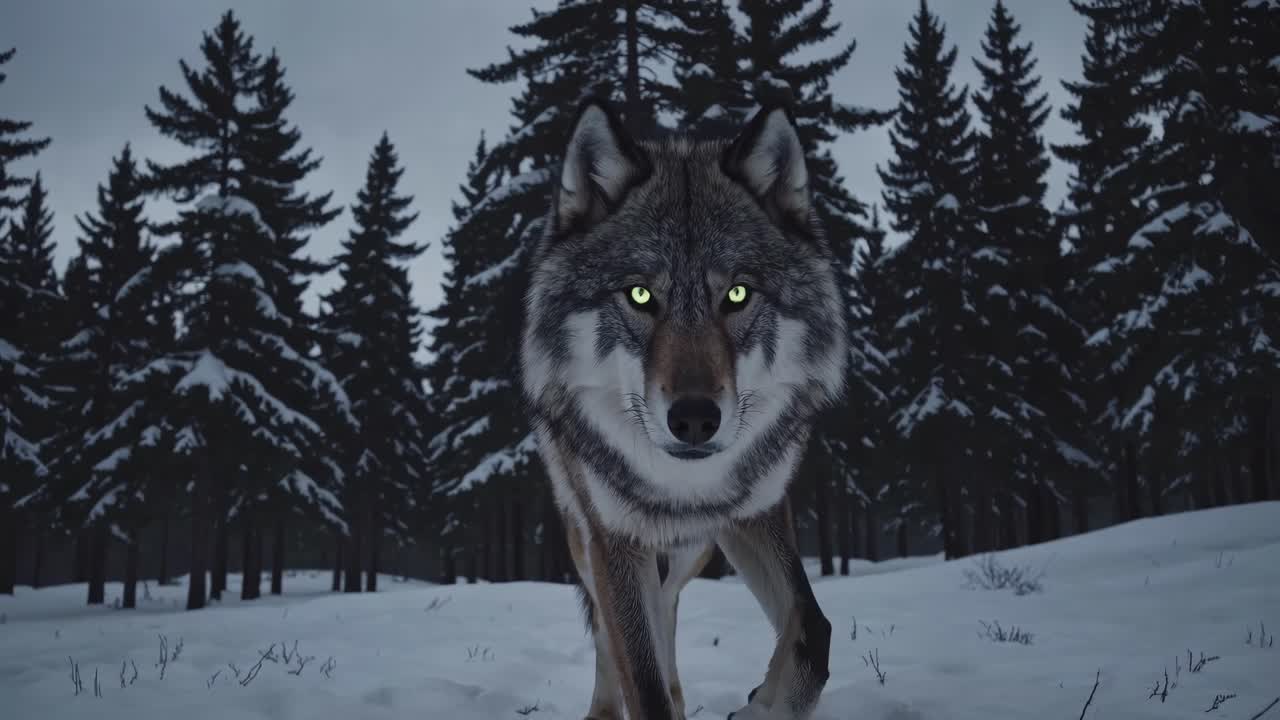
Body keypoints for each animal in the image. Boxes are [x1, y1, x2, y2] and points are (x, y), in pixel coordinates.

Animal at [520, 97, 849, 720]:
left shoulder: (755, 512)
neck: (685, 486)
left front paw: (764, 704)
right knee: (615, 634)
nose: (694, 419)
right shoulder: (612, 537)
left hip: (694, 547)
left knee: (667, 608)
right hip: (586, 538)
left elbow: (812, 628)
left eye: (738, 294)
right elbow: (639, 679)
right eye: (641, 294)